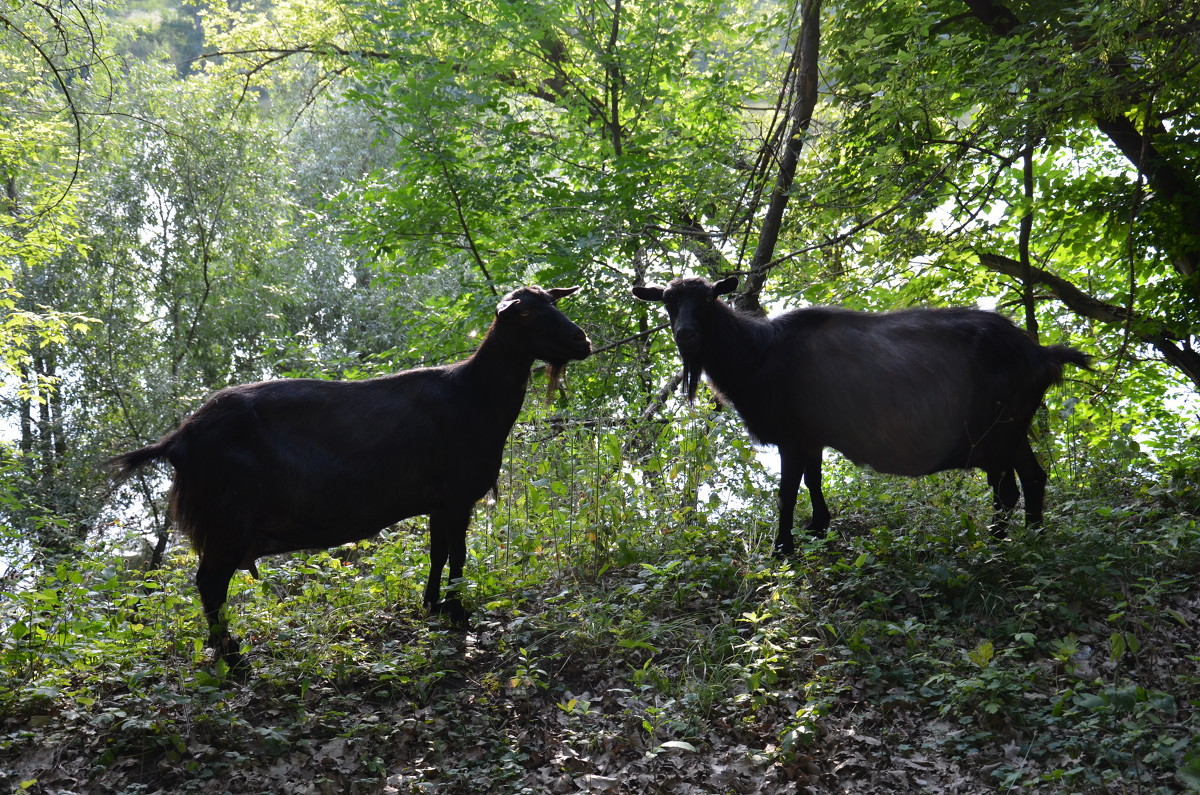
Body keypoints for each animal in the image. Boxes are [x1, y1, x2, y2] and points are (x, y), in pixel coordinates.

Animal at [106, 287, 590, 667]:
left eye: (553, 302)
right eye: (525, 312)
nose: (581, 339)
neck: (475, 394)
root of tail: (179, 438)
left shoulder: (438, 502)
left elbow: (437, 555)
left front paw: (432, 607)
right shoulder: (457, 497)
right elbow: (458, 557)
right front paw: (458, 613)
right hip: (228, 518)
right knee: (210, 585)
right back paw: (234, 657)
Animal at [633, 273, 1094, 554]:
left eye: (708, 300)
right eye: (668, 304)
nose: (686, 334)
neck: (758, 353)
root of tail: (1041, 355)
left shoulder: (793, 437)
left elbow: (786, 493)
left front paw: (782, 549)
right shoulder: (812, 437)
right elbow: (814, 482)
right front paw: (818, 529)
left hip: (995, 434)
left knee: (1006, 490)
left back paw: (997, 545)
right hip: (1014, 430)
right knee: (1033, 478)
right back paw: (1031, 538)